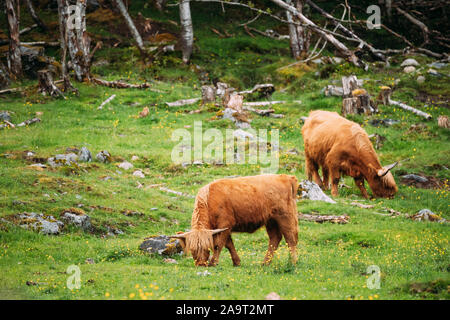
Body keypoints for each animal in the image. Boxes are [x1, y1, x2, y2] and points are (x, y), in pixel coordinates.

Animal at [171, 174, 300, 266]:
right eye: (192, 249)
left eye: (207, 247)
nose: (201, 264)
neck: (209, 200)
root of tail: (286, 177)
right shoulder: (222, 227)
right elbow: (229, 244)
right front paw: (236, 262)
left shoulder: (225, 223)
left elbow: (219, 244)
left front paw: (213, 262)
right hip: (271, 221)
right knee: (275, 238)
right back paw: (265, 263)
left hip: (285, 216)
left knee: (290, 238)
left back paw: (292, 262)